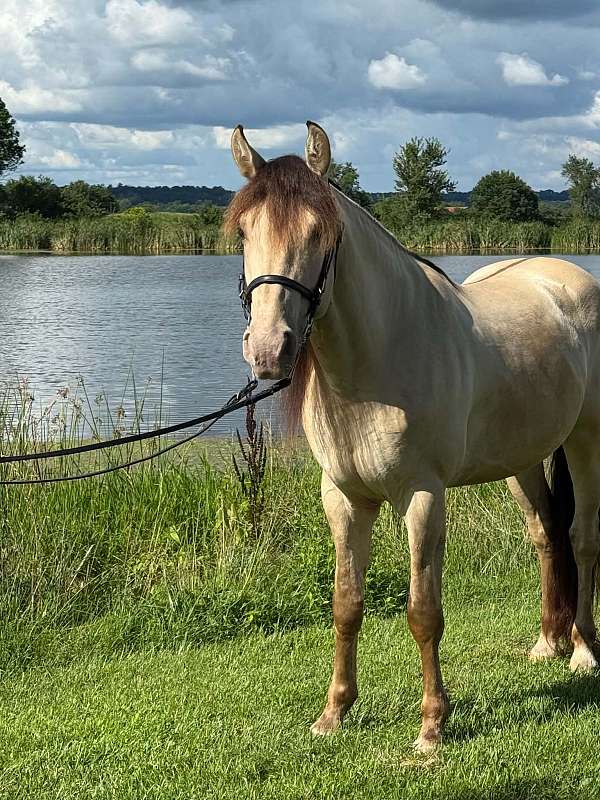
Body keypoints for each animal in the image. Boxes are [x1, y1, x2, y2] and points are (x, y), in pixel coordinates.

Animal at [224, 120, 600, 751]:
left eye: (318, 231)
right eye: (245, 230)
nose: (270, 349)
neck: (378, 361)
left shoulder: (422, 496)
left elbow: (424, 611)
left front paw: (431, 726)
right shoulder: (344, 498)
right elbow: (346, 603)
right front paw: (334, 712)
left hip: (586, 441)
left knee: (583, 538)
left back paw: (583, 651)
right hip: (523, 460)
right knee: (547, 534)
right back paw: (548, 642)